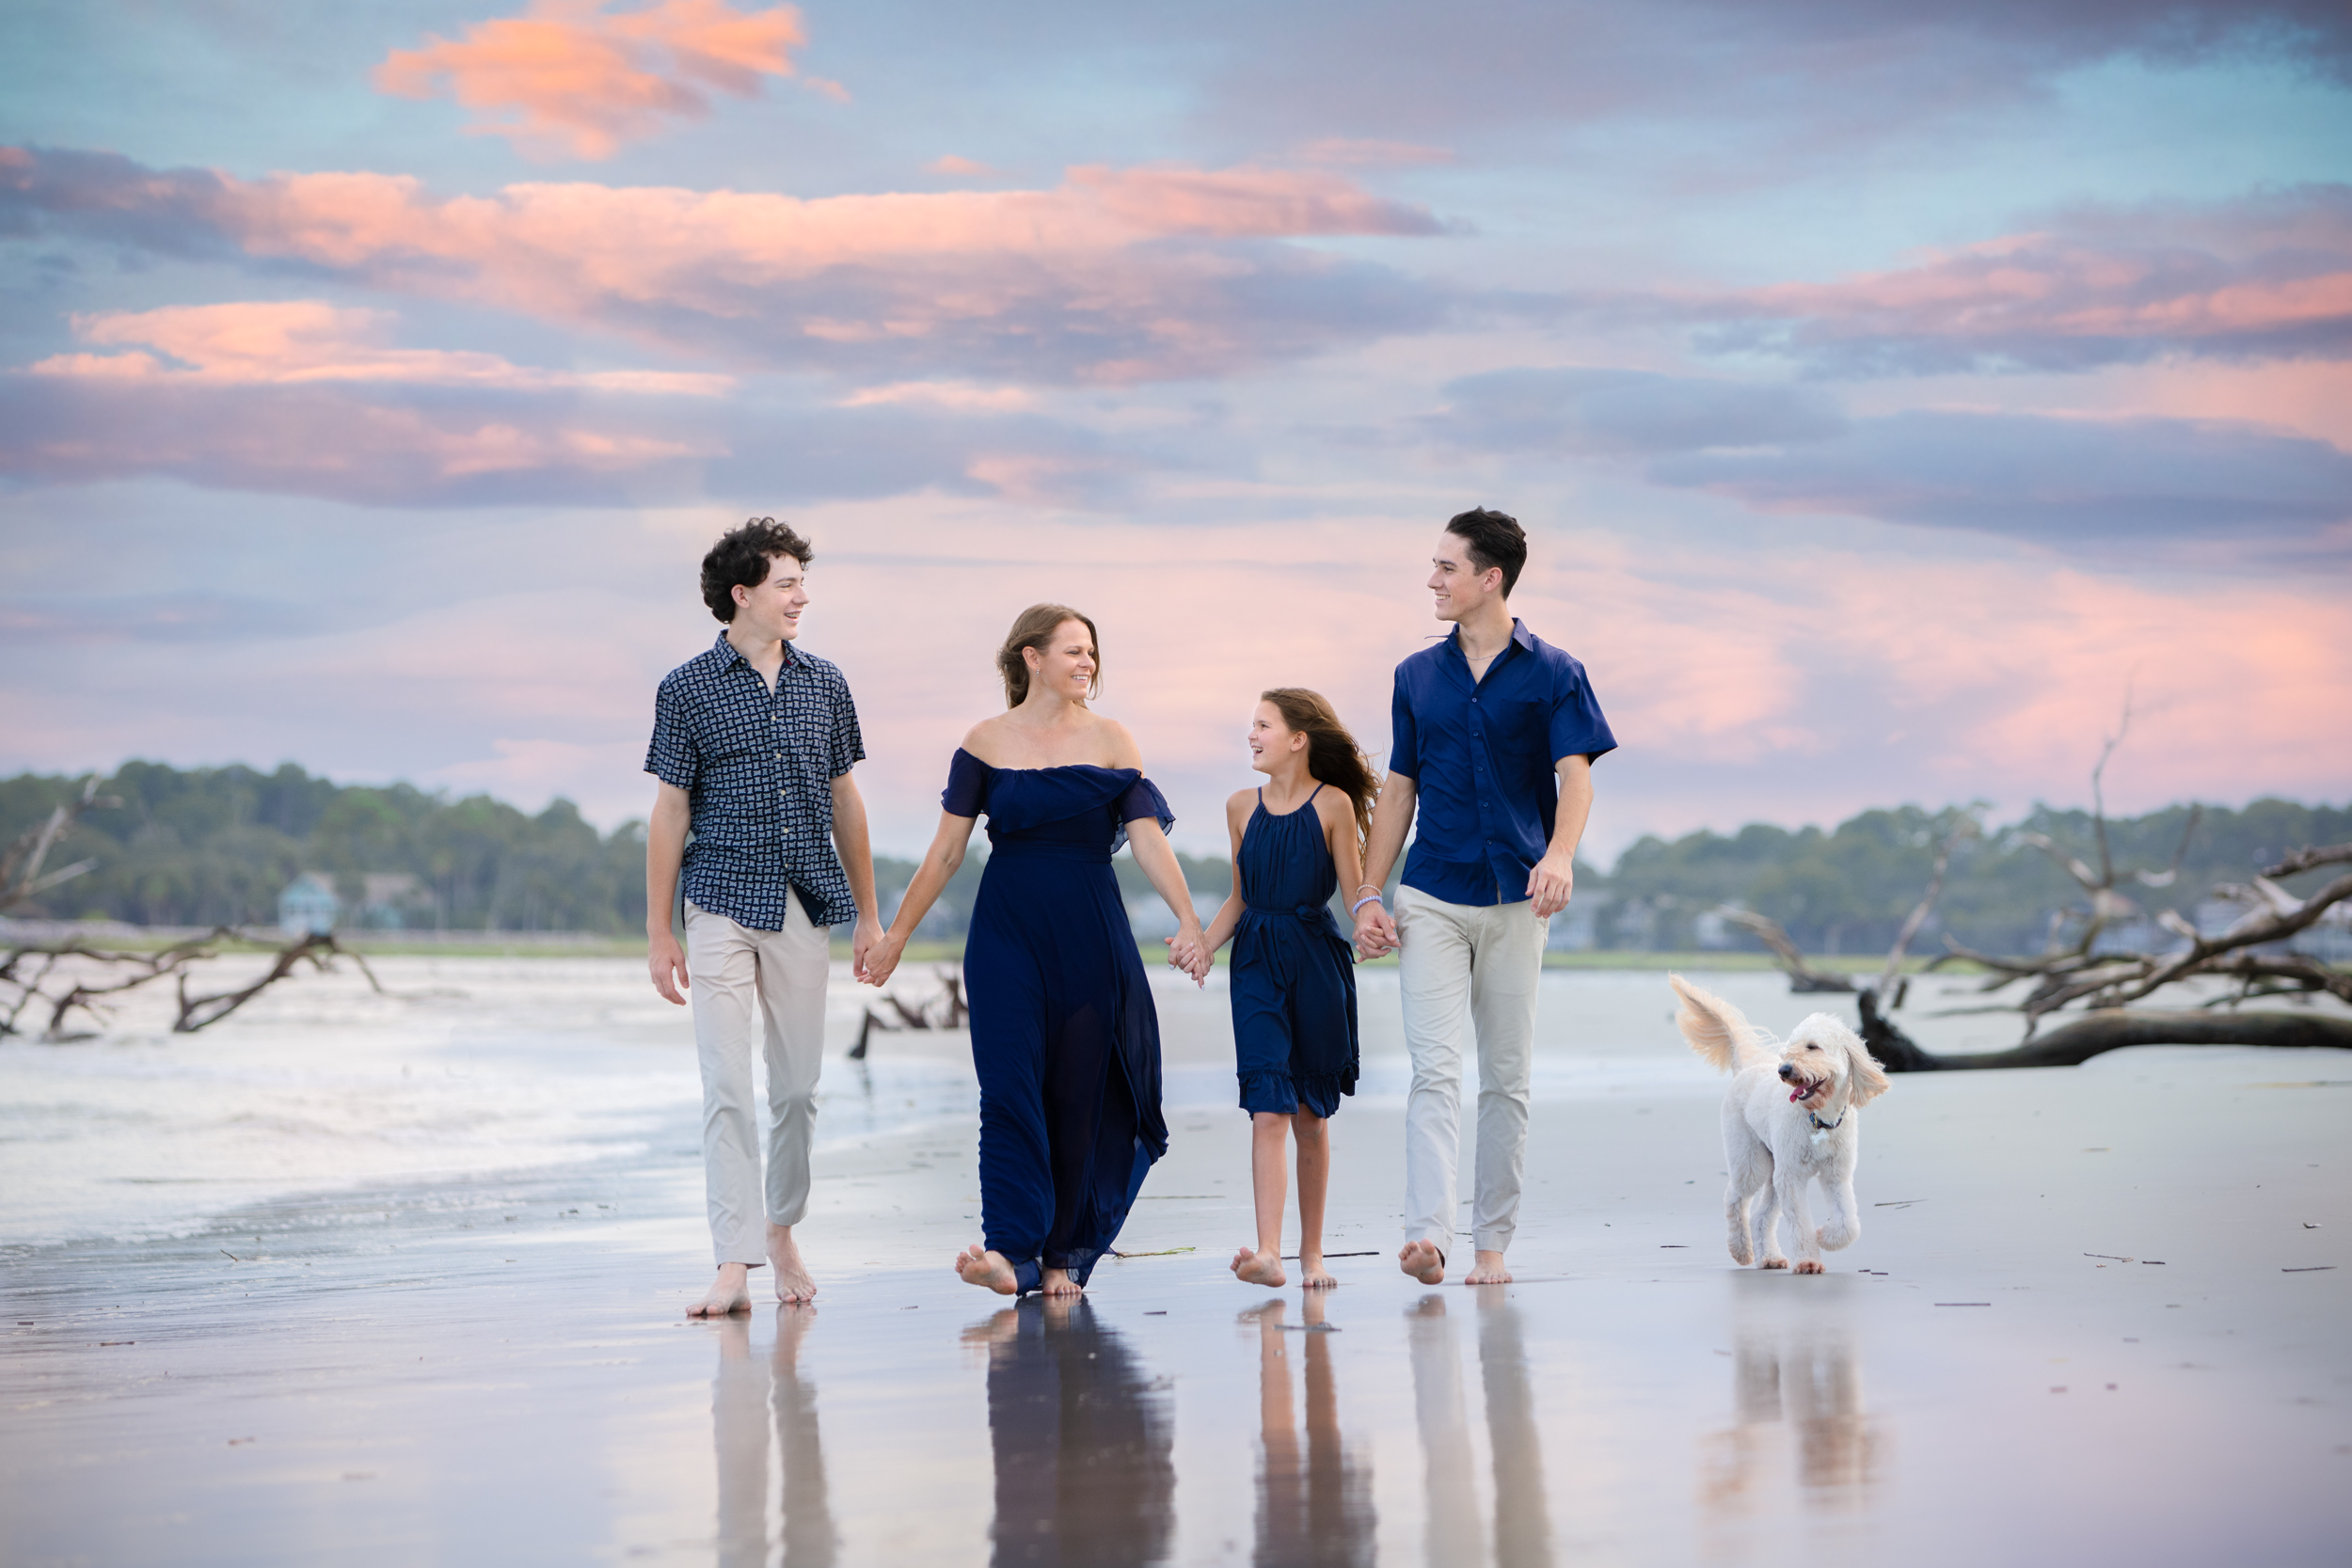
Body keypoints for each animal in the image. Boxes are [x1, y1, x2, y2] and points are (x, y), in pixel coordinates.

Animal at [1675, 982, 1891, 1278]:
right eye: (1789, 1048)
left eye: (1813, 1047)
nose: (1784, 1070)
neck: (1818, 1119)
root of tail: (1745, 1069)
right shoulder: (1791, 1177)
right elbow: (1800, 1223)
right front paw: (1809, 1259)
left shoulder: (1836, 1174)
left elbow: (1849, 1223)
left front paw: (1825, 1236)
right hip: (1752, 1162)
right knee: (1734, 1198)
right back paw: (1740, 1249)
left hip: (1774, 1167)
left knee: (1760, 1215)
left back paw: (1769, 1257)